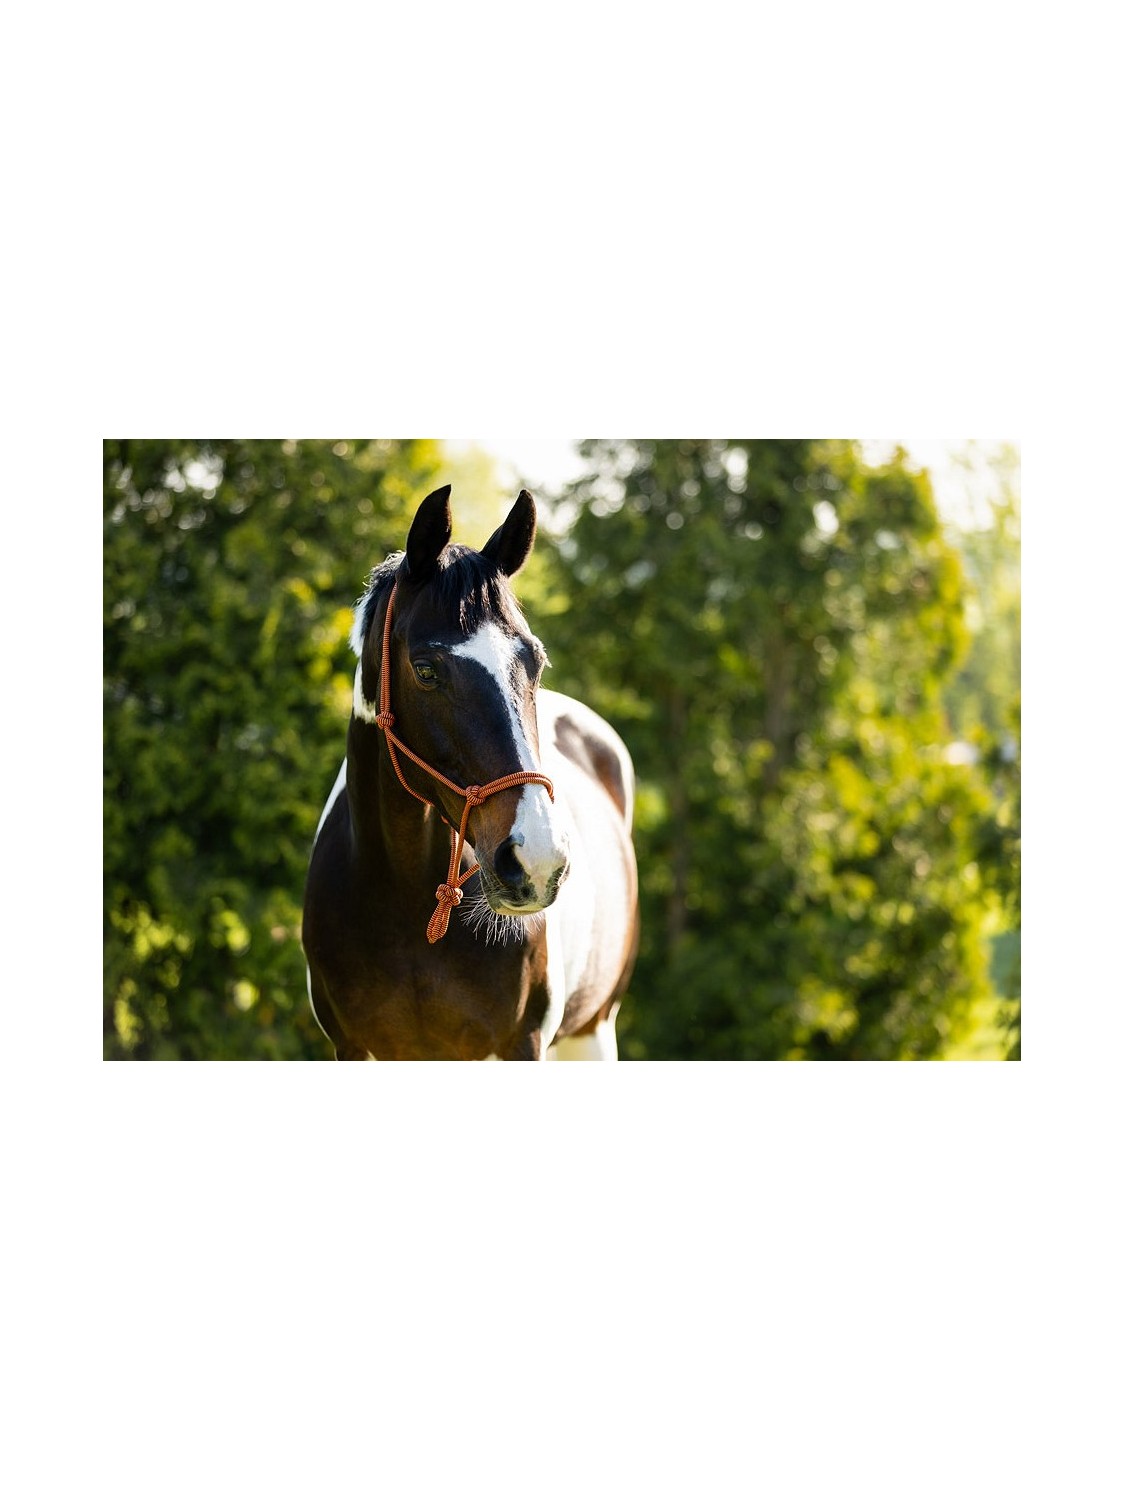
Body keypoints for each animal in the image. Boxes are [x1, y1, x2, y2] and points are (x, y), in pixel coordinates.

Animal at [302, 484, 639, 1060]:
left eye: (535, 661)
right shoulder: (353, 1046)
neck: (404, 899)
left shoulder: (522, 1043)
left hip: (594, 1028)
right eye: (426, 670)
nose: (537, 861)